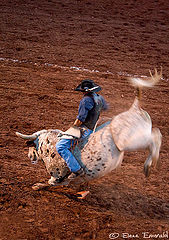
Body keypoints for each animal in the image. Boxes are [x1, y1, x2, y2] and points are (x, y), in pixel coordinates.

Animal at [15, 68, 162, 199]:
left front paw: (37, 186)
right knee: (156, 134)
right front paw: (82, 192)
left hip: (132, 141)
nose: (29, 155)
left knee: (155, 137)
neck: (49, 144)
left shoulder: (57, 175)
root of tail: (134, 107)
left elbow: (50, 182)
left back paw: (148, 165)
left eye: (32, 145)